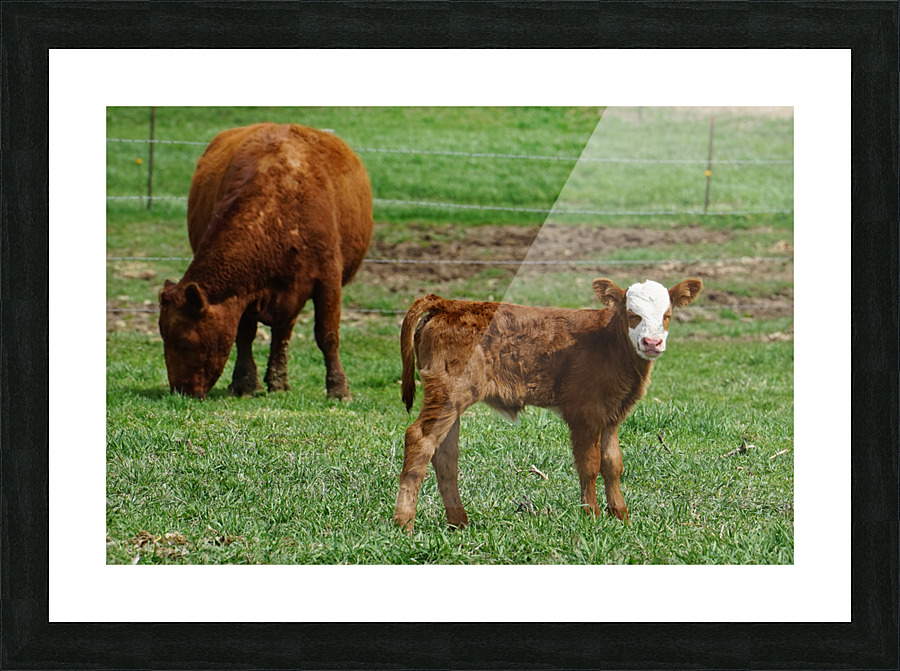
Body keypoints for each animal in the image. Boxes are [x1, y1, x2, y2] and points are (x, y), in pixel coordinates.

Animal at [159, 123, 373, 400]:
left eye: (185, 341)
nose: (180, 391)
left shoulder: (328, 282)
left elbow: (327, 336)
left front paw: (338, 389)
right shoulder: (243, 294)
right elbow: (244, 335)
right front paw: (245, 383)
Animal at [393, 277, 703, 531]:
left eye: (667, 316)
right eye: (632, 315)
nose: (652, 342)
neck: (609, 344)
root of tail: (448, 304)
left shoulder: (612, 413)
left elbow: (613, 463)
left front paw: (621, 517)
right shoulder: (585, 412)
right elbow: (589, 464)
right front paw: (592, 516)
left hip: (453, 400)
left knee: (445, 454)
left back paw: (459, 523)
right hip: (449, 393)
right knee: (419, 440)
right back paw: (404, 524)